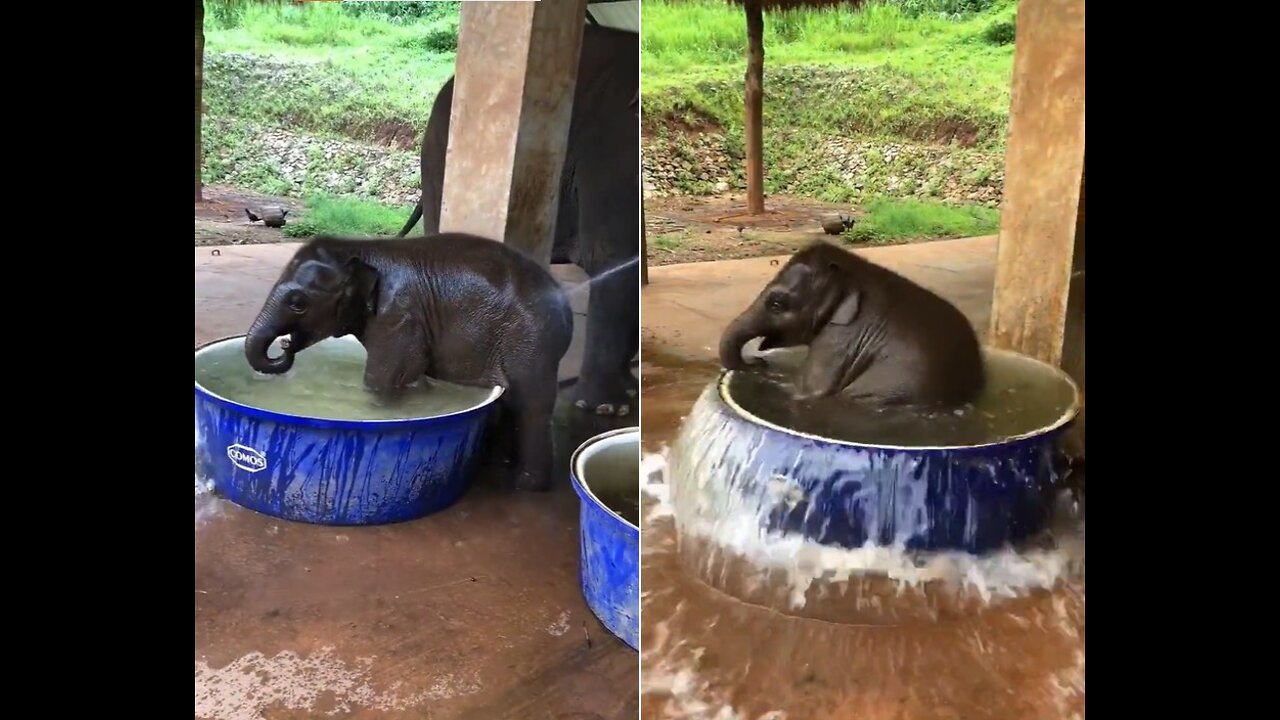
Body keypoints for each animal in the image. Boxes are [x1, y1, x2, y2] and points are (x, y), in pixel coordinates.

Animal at [245, 233, 576, 489]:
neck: (359, 248)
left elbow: (381, 382)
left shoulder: (398, 318)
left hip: (531, 342)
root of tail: (565, 304)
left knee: (530, 406)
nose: (285, 345)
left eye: (298, 304)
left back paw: (524, 484)